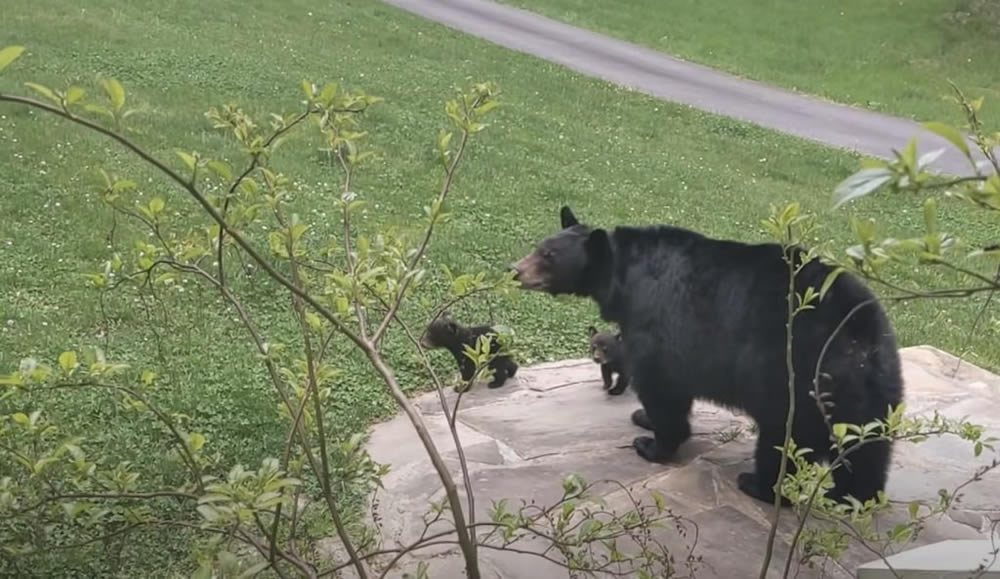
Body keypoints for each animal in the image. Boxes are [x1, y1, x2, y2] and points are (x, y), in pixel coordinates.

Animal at [516, 206, 908, 506]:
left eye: (548, 256)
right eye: (539, 246)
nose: (515, 270)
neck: (623, 275)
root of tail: (859, 334)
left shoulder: (657, 323)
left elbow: (661, 386)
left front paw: (652, 443)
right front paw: (643, 418)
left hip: (794, 377)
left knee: (784, 440)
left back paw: (758, 485)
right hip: (873, 394)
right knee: (868, 451)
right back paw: (852, 498)